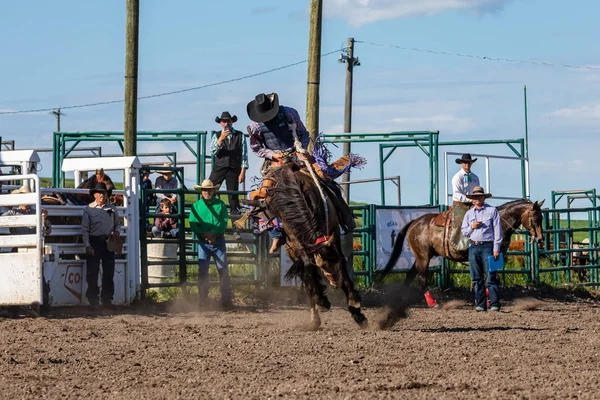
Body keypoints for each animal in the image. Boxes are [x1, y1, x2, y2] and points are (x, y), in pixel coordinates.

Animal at [264, 162, 366, 328]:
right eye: (323, 266)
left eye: (336, 264)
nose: (336, 283)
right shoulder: (296, 241)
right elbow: (308, 267)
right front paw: (322, 301)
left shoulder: (334, 234)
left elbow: (343, 263)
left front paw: (355, 307)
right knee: (307, 279)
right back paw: (315, 316)